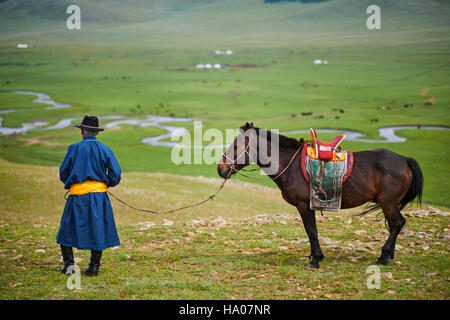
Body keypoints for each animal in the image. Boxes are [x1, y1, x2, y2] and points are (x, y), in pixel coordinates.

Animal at [216, 122, 424, 268]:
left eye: (236, 146)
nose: (220, 169)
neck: (290, 165)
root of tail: (405, 160)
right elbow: (310, 231)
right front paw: (313, 256)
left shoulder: (304, 205)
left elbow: (312, 231)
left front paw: (315, 259)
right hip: (389, 204)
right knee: (394, 225)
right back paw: (389, 255)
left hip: (388, 202)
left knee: (398, 223)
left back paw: (384, 256)